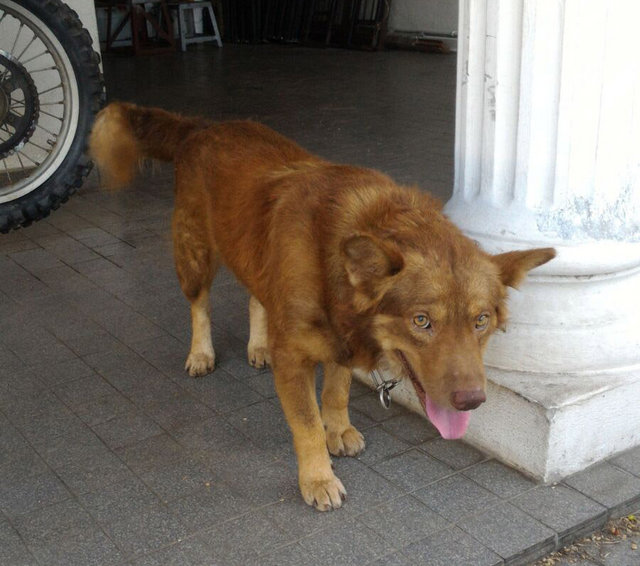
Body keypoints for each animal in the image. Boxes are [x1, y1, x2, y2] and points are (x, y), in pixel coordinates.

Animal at [90, 103, 556, 516]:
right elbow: (307, 424)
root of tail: (202, 126)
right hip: (195, 253)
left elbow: (336, 392)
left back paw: (258, 345)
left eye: (482, 321)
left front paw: (340, 429)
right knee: (199, 305)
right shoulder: (296, 360)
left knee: (256, 296)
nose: (472, 402)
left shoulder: (340, 342)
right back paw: (201, 353)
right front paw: (317, 478)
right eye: (421, 321)